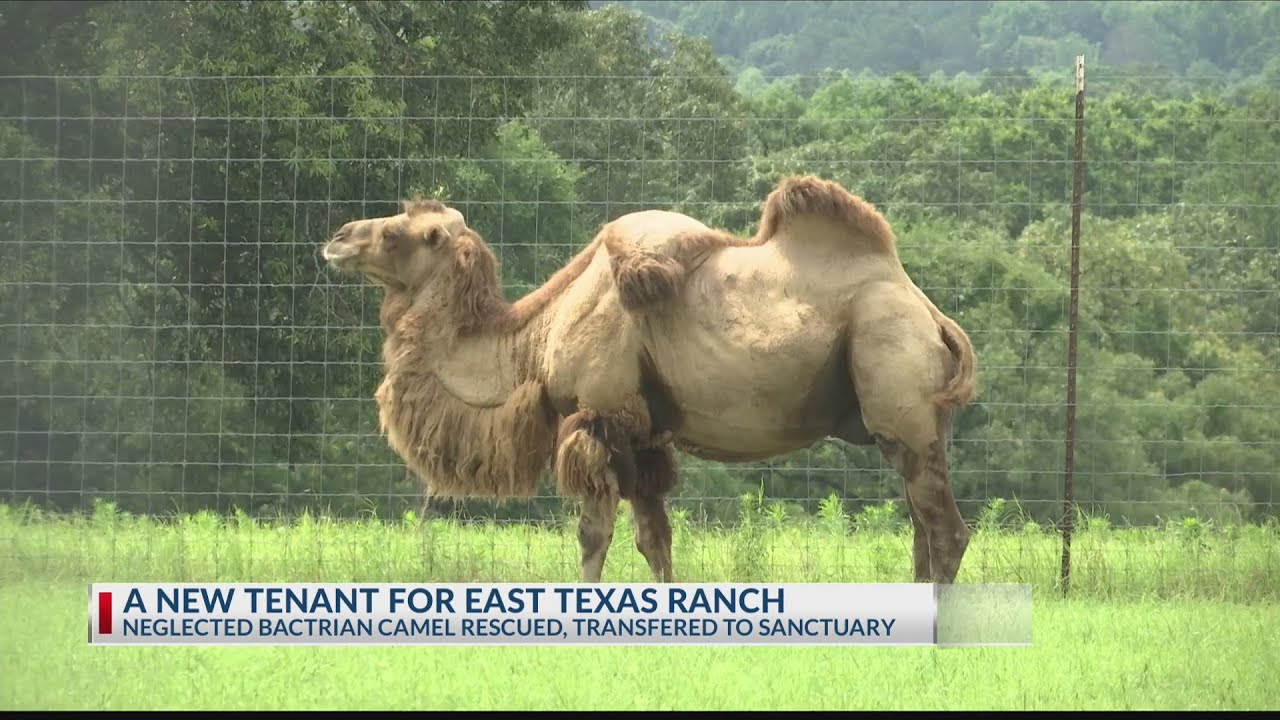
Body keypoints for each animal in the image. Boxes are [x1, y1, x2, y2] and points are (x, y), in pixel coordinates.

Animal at [319, 174, 978, 585]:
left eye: (397, 234)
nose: (338, 237)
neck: (535, 340)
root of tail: (931, 314)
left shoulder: (599, 413)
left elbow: (593, 534)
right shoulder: (642, 431)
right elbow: (654, 538)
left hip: (894, 372)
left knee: (946, 530)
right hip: (911, 417)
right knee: (921, 526)